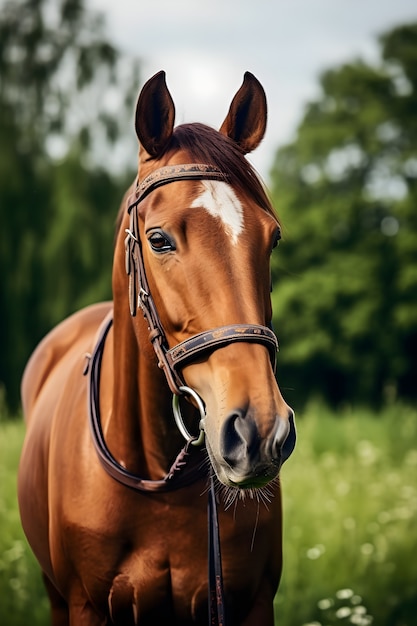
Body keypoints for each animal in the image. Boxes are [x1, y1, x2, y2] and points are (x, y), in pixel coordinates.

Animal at [17, 70, 296, 620]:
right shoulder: (84, 606)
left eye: (272, 239)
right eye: (159, 239)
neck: (156, 477)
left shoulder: (253, 603)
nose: (259, 431)